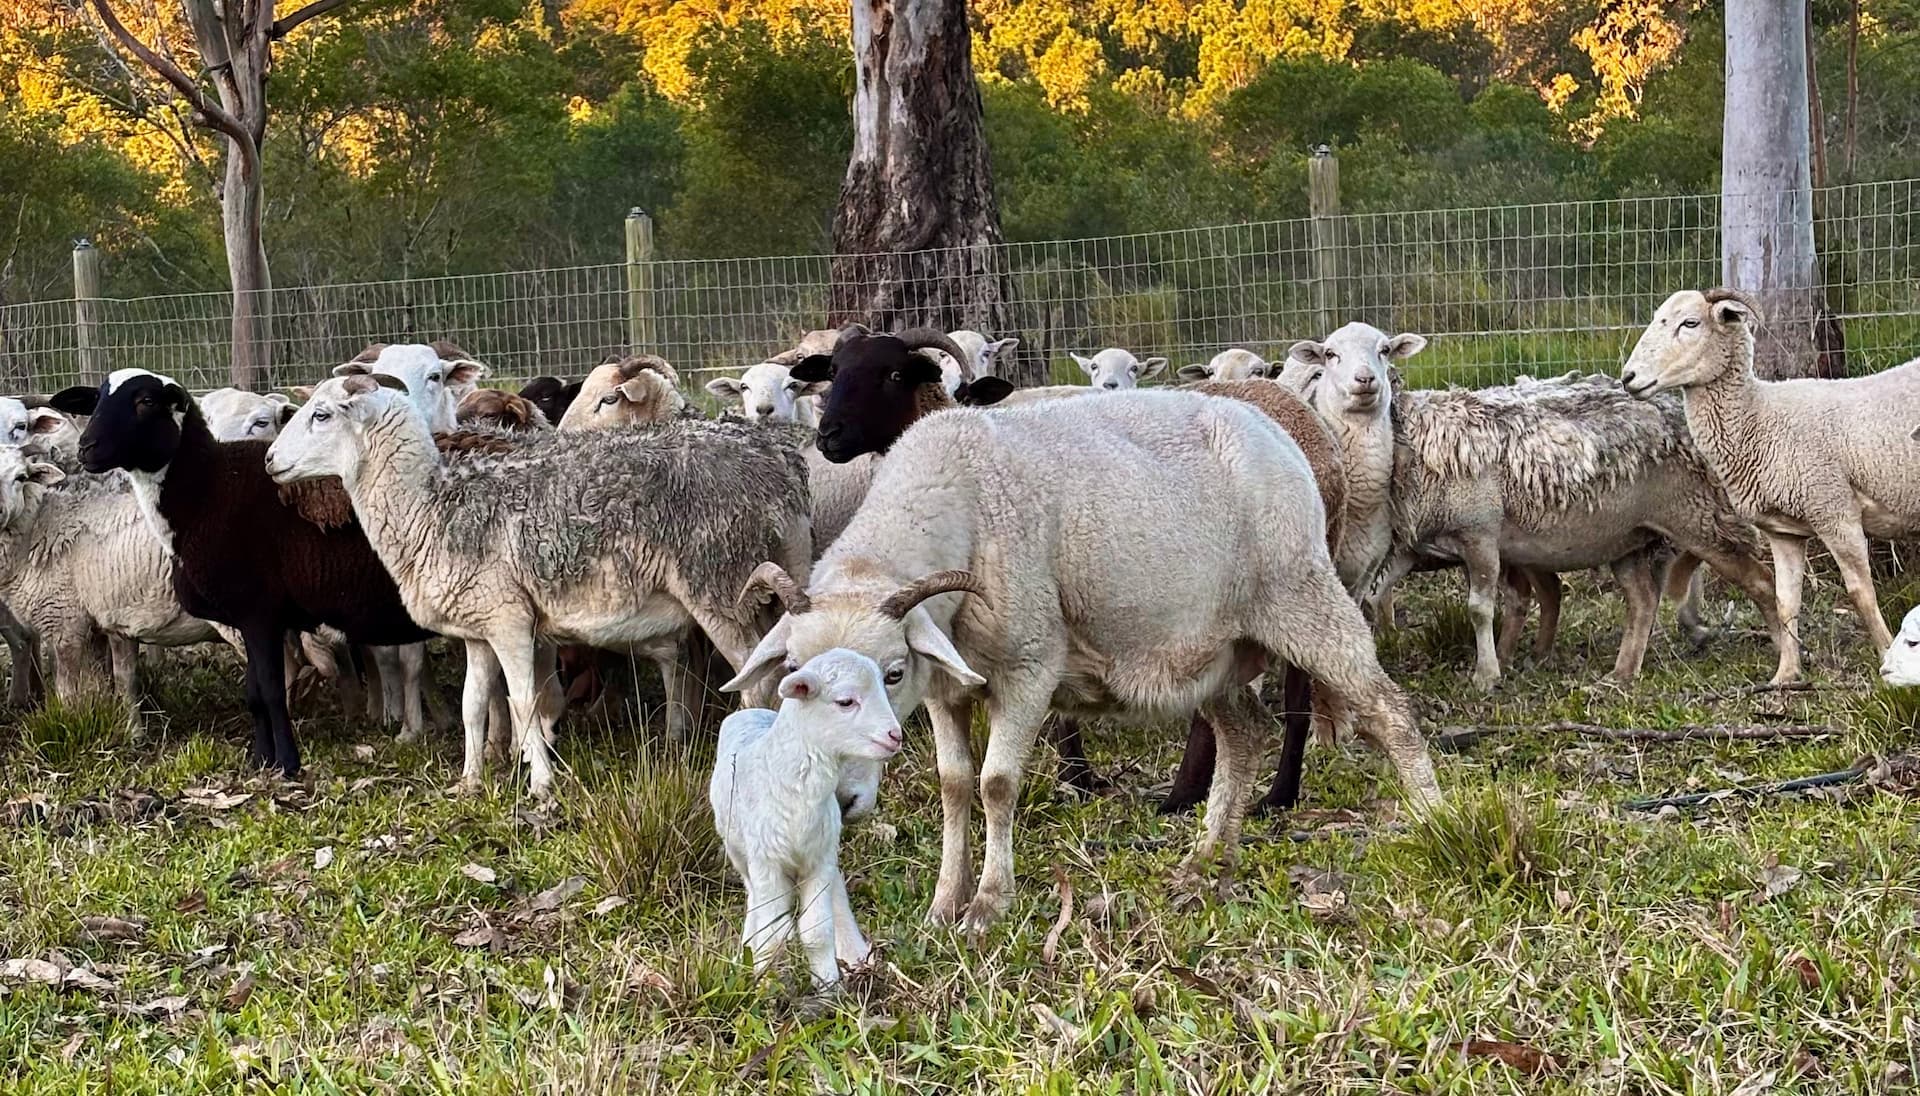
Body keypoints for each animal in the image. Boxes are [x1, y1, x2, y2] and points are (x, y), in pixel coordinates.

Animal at [49, 370, 439, 777]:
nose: (86, 448)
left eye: (145, 402)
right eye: (96, 401)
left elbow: (271, 690)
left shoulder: (259, 613)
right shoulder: (246, 619)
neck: (207, 491)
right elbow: (254, 693)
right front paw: (260, 760)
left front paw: (287, 764)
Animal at [264, 374, 814, 796]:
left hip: (719, 584)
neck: (429, 508)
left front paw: (541, 784)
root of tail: (767, 462)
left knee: (756, 682)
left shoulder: (511, 621)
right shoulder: (478, 628)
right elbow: (473, 706)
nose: (268, 460)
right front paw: (470, 781)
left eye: (321, 415)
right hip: (784, 572)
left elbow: (524, 702)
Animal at [710, 647, 903, 985]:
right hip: (739, 852)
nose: (895, 736)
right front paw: (766, 983)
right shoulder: (766, 863)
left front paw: (828, 987)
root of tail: (750, 712)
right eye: (845, 701)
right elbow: (771, 933)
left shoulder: (818, 860)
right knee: (754, 899)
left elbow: (817, 931)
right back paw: (750, 946)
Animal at [722, 390, 1442, 930]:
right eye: (793, 681)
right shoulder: (945, 690)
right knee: (1244, 734)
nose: (838, 798)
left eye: (891, 673)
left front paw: (989, 905)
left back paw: (1434, 820)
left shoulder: (1029, 665)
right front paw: (944, 903)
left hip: (1300, 591)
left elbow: (996, 784)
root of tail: (1280, 428)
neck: (957, 494)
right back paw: (1207, 858)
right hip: (1212, 649)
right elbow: (955, 786)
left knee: (1387, 708)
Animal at [1621, 288, 1920, 683]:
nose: (1628, 377)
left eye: (1690, 323)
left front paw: (1888, 657)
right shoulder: (1783, 532)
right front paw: (1785, 675)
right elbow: (1785, 602)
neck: (1760, 417)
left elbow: (1861, 593)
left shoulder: (1834, 509)